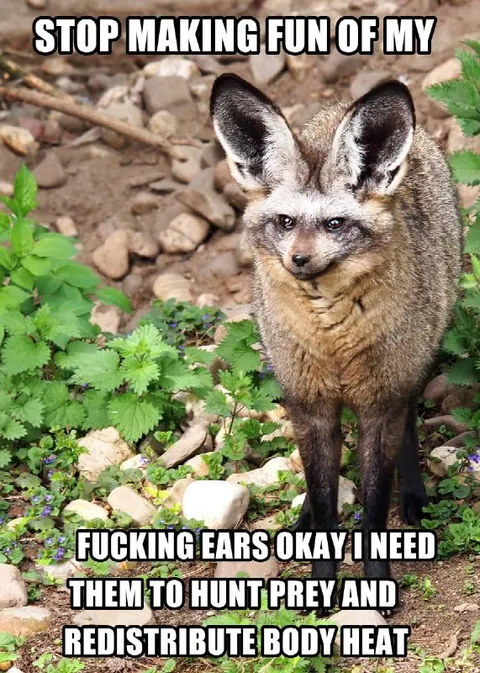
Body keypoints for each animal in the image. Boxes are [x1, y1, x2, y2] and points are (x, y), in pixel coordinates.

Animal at [210, 73, 463, 601]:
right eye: (286, 222)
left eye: (334, 224)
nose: (299, 260)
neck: (333, 342)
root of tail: (338, 106)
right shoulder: (308, 403)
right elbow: (326, 501)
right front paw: (321, 585)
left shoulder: (380, 401)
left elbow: (373, 508)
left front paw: (375, 585)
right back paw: (304, 512)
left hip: (411, 369)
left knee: (408, 432)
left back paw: (413, 494)